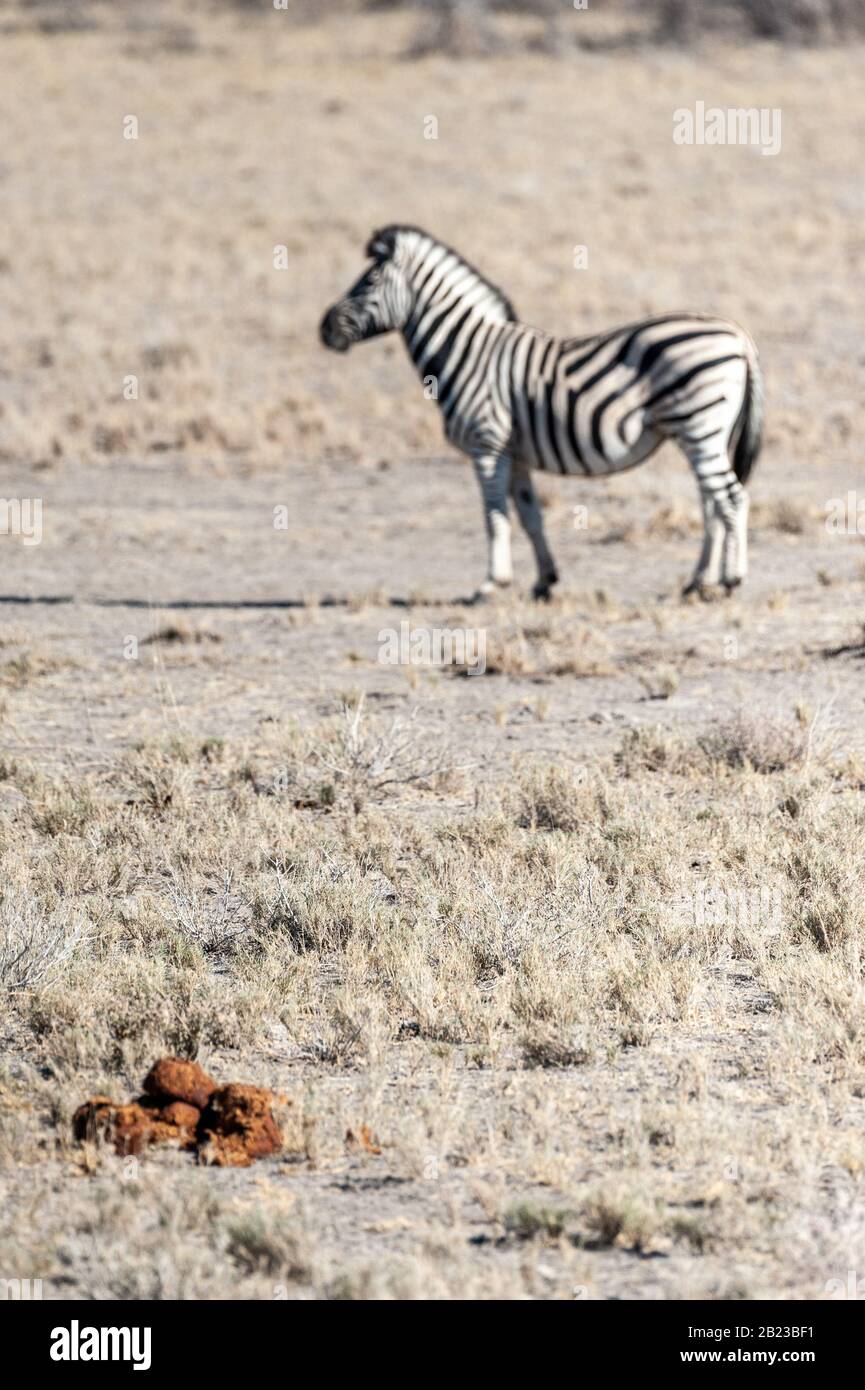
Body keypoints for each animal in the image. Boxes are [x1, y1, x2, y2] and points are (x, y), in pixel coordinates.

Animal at [319, 225, 767, 600]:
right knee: (712, 503)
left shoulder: (487, 443)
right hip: (707, 432)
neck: (466, 351)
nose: (324, 329)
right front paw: (544, 582)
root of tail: (739, 335)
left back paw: (731, 579)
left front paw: (491, 584)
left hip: (699, 427)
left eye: (369, 281)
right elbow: (529, 514)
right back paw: (698, 581)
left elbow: (494, 515)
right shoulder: (514, 452)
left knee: (732, 498)